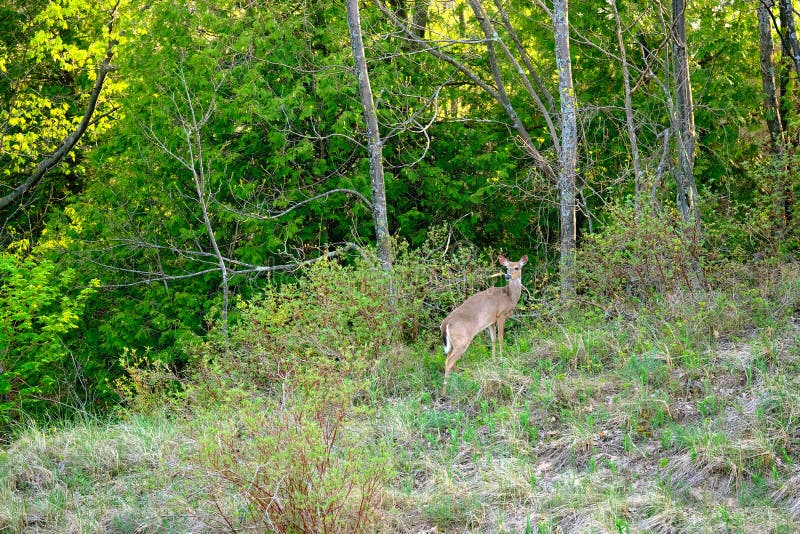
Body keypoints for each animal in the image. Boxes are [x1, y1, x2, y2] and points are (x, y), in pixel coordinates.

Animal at [440, 255, 528, 396]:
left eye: (516, 267)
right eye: (507, 267)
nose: (507, 276)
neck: (509, 297)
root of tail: (445, 323)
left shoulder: (490, 321)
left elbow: (493, 339)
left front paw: (494, 361)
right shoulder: (500, 315)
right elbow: (501, 338)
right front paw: (502, 359)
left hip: (454, 342)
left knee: (449, 356)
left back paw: (460, 377)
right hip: (462, 339)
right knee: (449, 360)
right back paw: (444, 391)